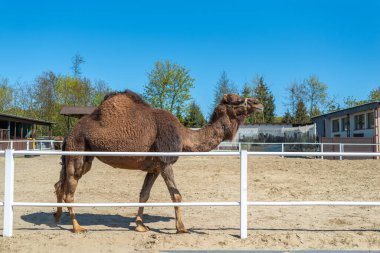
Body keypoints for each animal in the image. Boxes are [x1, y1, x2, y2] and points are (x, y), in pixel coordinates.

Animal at [53, 90, 262, 233]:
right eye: (236, 100)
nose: (258, 103)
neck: (184, 136)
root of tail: (68, 134)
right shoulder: (165, 162)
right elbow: (176, 195)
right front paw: (181, 228)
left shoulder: (154, 167)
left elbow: (144, 195)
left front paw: (140, 226)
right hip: (77, 151)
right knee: (70, 189)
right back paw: (77, 227)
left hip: (81, 155)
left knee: (60, 184)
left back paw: (57, 216)